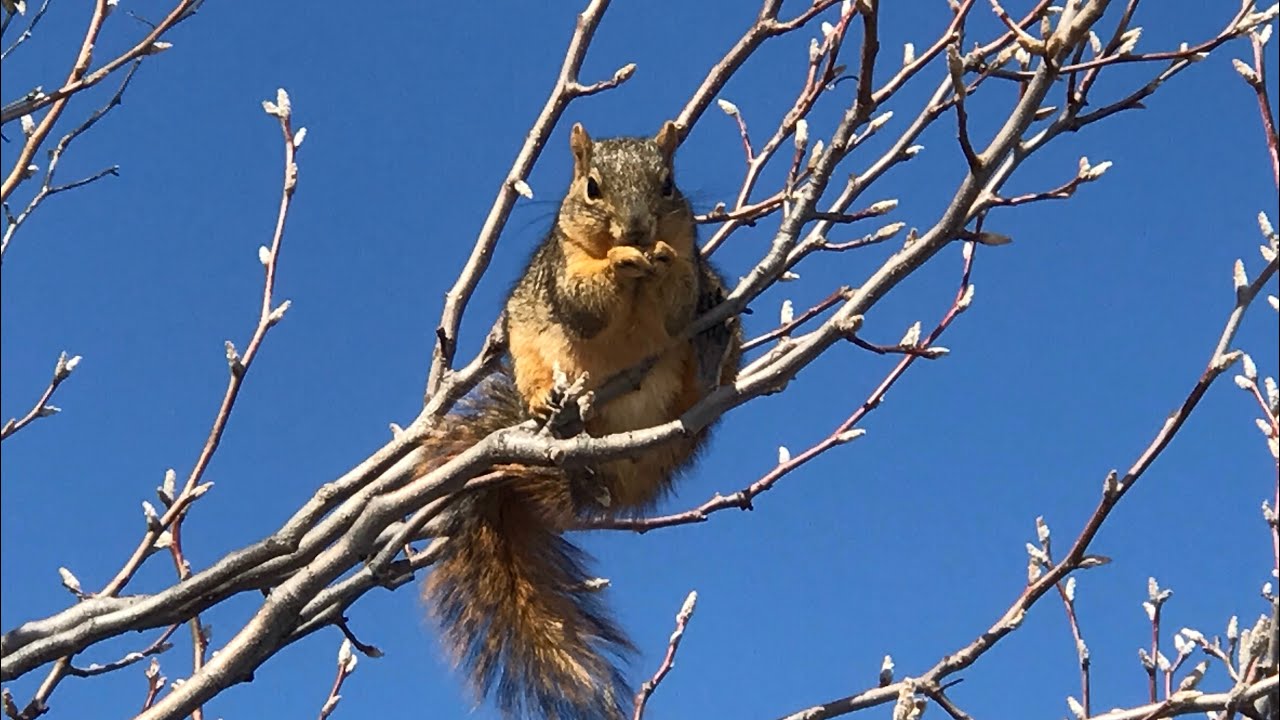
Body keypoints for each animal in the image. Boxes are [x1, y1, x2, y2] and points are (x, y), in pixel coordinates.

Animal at [419, 121, 742, 719]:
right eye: (592, 188)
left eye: (668, 184)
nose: (637, 229)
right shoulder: (562, 272)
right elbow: (584, 300)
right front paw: (618, 264)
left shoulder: (688, 261)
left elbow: (678, 302)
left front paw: (663, 262)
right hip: (528, 352)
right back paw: (556, 414)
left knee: (701, 371)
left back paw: (711, 350)